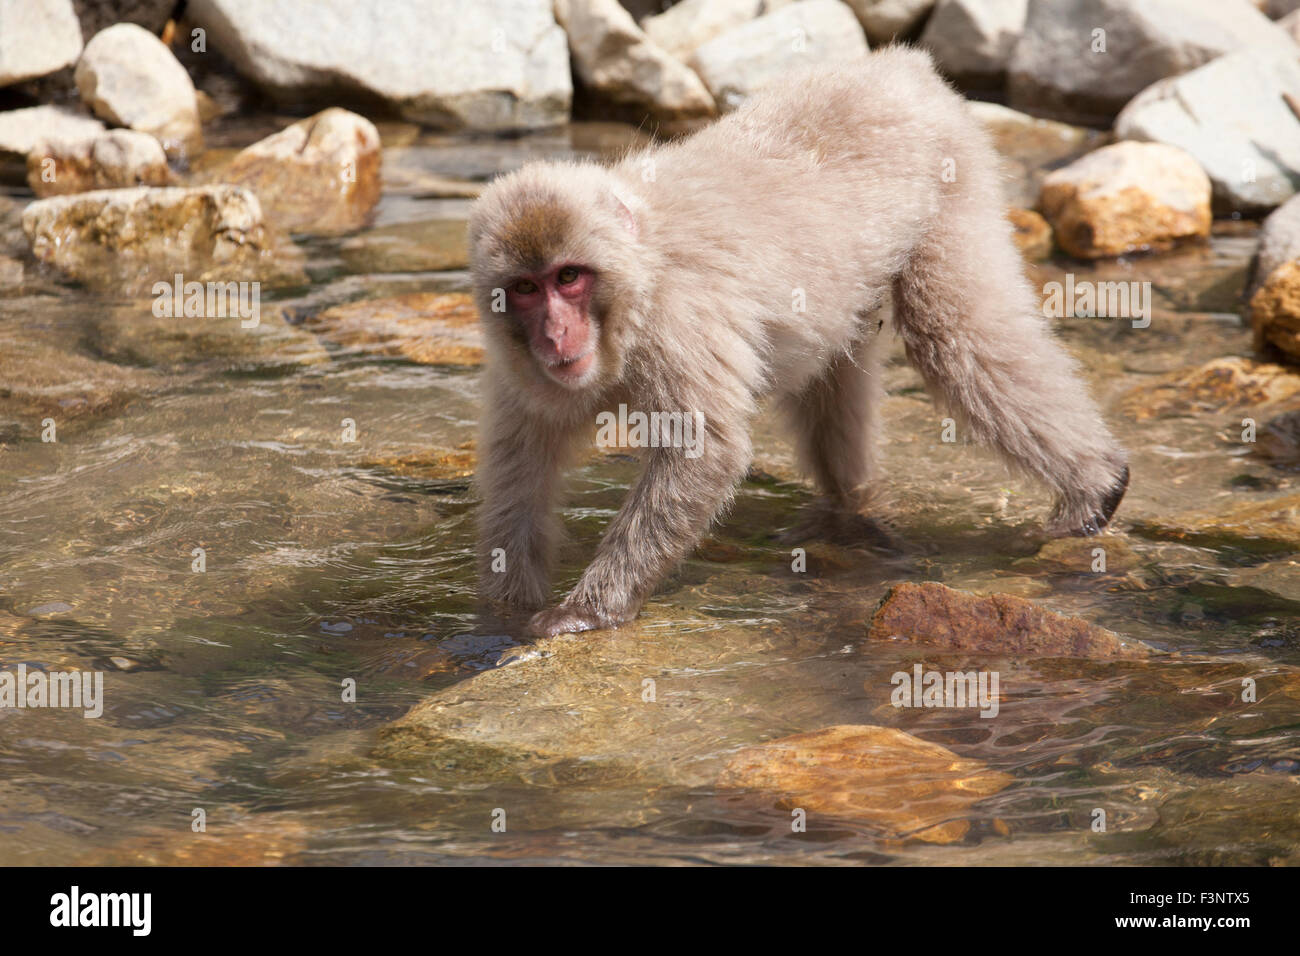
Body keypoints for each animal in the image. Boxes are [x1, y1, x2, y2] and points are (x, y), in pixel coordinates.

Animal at [468, 46, 1130, 638]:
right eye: (525, 288)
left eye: (569, 277)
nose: (556, 332)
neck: (640, 275)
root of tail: (900, 65)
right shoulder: (519, 367)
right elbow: (520, 462)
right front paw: (501, 612)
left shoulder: (681, 325)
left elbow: (703, 451)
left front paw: (589, 611)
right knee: (836, 368)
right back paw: (845, 512)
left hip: (953, 179)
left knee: (957, 331)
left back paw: (1096, 486)